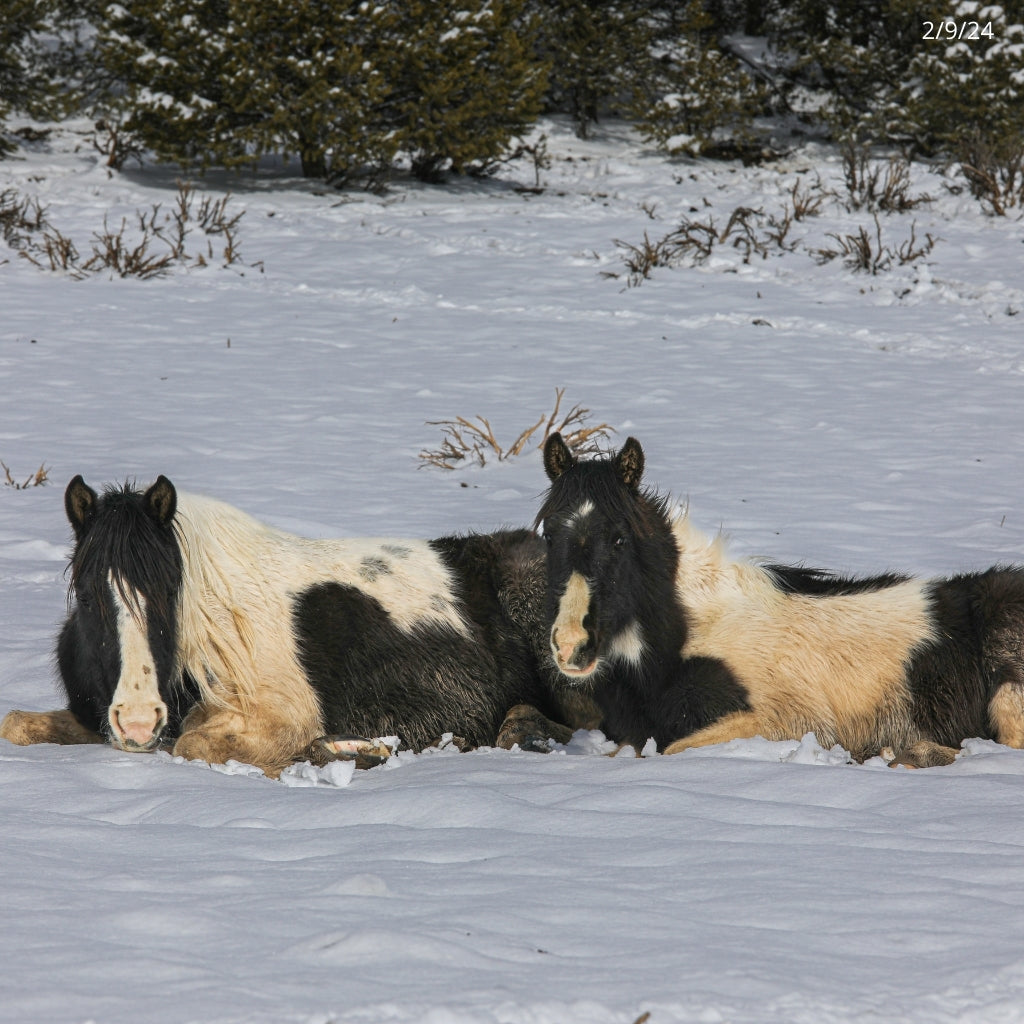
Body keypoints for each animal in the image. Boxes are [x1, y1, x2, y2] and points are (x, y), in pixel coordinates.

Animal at [0, 475, 593, 770]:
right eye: (87, 594)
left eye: (170, 590)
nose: (140, 720)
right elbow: (16, 724)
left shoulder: (279, 717)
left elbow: (193, 744)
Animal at [528, 434, 1024, 770]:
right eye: (549, 535)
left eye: (619, 539)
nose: (571, 646)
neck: (687, 635)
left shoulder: (787, 722)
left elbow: (672, 748)